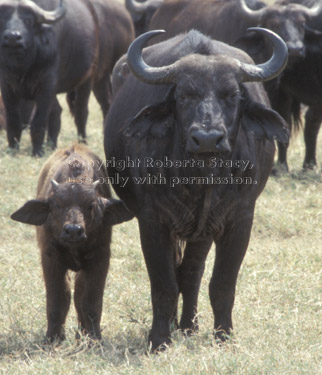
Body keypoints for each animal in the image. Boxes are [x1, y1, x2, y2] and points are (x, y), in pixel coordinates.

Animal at [0, 0, 133, 156]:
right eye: (3, 19)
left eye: (29, 21)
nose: (13, 37)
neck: (24, 67)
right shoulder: (7, 87)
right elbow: (13, 121)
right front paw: (12, 149)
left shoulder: (46, 86)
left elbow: (39, 120)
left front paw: (37, 151)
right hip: (99, 80)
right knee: (65, 110)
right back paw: (52, 145)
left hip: (88, 79)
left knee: (81, 112)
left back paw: (83, 141)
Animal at [10, 145, 133, 344]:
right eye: (57, 205)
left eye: (90, 205)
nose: (74, 230)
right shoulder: (50, 259)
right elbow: (58, 299)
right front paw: (53, 338)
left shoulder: (100, 259)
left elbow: (90, 301)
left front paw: (94, 338)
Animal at [104, 29, 290, 352]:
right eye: (183, 96)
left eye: (233, 96)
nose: (206, 139)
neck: (202, 177)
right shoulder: (152, 221)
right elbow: (163, 283)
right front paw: (159, 338)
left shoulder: (240, 219)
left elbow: (222, 282)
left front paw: (224, 335)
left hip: (202, 231)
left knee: (191, 272)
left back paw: (189, 326)